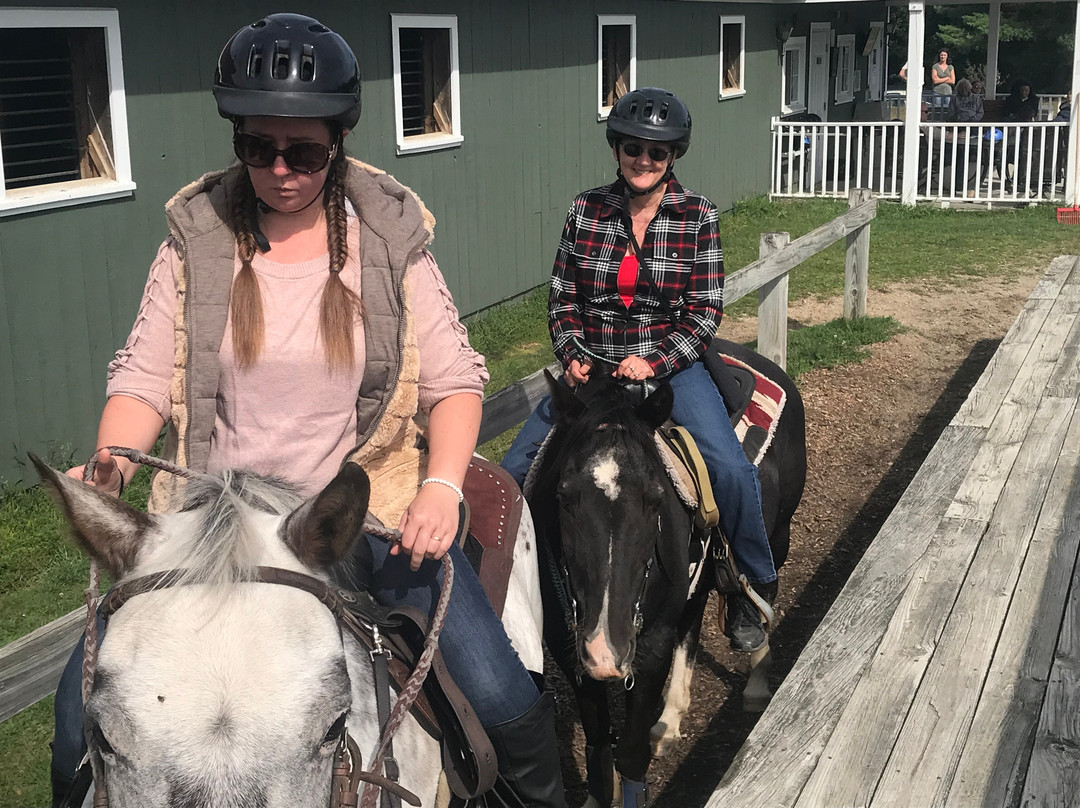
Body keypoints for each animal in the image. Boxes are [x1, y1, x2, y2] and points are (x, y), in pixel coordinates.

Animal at [527, 337, 807, 803]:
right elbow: (599, 749)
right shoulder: (571, 652)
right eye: (564, 495)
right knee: (691, 624)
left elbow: (631, 755)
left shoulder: (651, 645)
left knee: (764, 589)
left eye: (655, 498)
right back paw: (670, 721)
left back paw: (756, 677)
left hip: (778, 534)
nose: (606, 648)